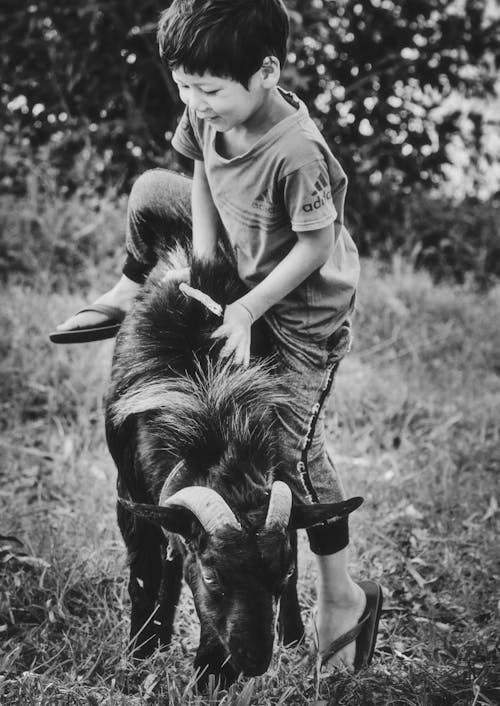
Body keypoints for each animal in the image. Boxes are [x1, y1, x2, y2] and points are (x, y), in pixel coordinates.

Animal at [106, 248, 364, 680]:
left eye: (283, 574)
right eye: (211, 574)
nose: (254, 662)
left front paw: (208, 673)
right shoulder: (129, 492)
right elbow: (146, 573)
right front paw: (140, 651)